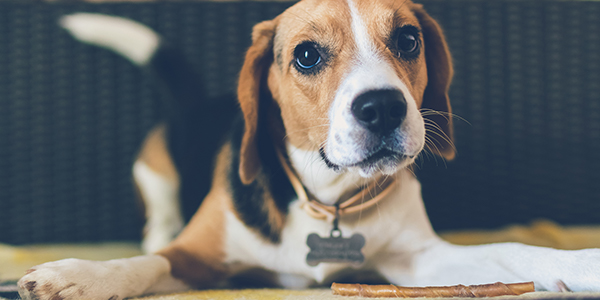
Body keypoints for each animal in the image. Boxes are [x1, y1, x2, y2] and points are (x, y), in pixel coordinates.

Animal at [16, 0, 600, 300]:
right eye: (306, 55)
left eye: (408, 40)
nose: (383, 108)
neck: (327, 197)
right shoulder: (195, 255)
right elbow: (144, 264)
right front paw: (81, 276)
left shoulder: (420, 260)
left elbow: (515, 251)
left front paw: (582, 263)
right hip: (153, 171)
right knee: (158, 223)